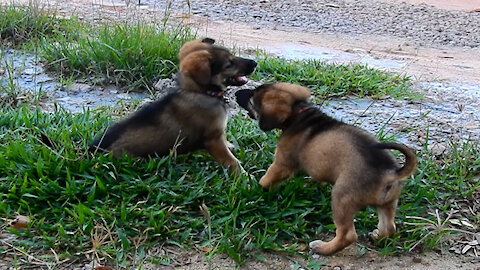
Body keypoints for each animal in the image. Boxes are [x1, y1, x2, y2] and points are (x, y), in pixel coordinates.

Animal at [88, 37, 256, 174]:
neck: (201, 91)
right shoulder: (213, 140)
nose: (254, 63)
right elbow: (232, 161)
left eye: (233, 55)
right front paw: (246, 179)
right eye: (229, 64)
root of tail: (92, 151)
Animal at [234, 83, 414, 255]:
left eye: (252, 99)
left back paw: (322, 248)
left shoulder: (281, 165)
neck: (297, 113)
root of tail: (390, 173)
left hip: (342, 199)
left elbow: (267, 179)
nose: (236, 93)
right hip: (388, 203)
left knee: (348, 235)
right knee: (389, 227)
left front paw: (253, 191)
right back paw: (377, 236)